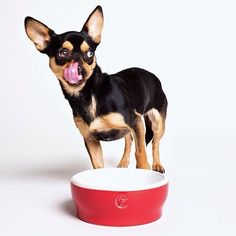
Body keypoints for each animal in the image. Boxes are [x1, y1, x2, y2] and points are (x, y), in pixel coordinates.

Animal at [24, 5, 168, 171]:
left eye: (90, 53)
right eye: (63, 53)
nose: (79, 69)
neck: (88, 95)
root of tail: (152, 75)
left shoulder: (136, 121)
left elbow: (141, 152)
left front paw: (144, 169)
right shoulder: (90, 139)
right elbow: (98, 165)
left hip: (158, 123)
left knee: (155, 143)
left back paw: (157, 164)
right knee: (128, 139)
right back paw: (124, 162)